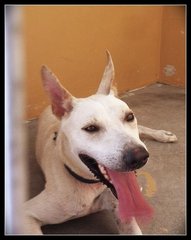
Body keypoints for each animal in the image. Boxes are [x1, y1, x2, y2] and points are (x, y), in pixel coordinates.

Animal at [23, 51, 178, 234]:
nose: (140, 157)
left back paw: (163, 134)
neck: (91, 185)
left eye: (129, 116)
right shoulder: (25, 214)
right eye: (91, 128)